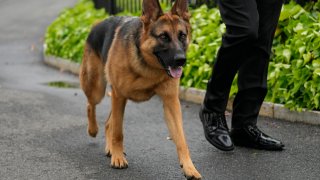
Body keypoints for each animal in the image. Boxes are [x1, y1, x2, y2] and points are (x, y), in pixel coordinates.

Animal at [79, 0, 201, 179]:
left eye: (182, 36)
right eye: (163, 36)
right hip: (97, 88)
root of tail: (97, 23)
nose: (181, 60)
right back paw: (93, 130)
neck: (148, 65)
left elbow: (181, 139)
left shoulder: (171, 102)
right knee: (90, 105)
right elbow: (118, 133)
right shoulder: (119, 95)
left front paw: (189, 167)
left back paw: (109, 147)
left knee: (108, 122)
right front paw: (118, 158)